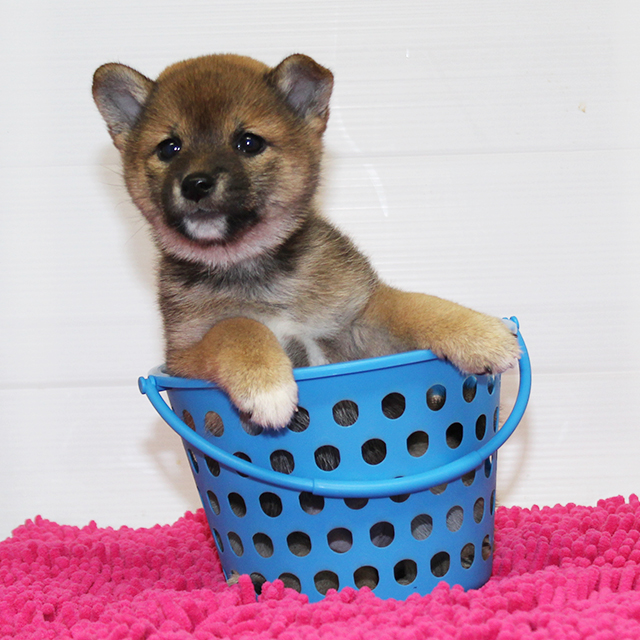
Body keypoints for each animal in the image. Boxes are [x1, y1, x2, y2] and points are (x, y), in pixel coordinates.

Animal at [92, 53, 520, 431]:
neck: (251, 267)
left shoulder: (358, 321)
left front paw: (480, 334)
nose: (196, 183)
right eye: (169, 148)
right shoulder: (182, 357)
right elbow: (235, 326)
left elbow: (414, 305)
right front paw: (265, 383)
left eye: (248, 142)